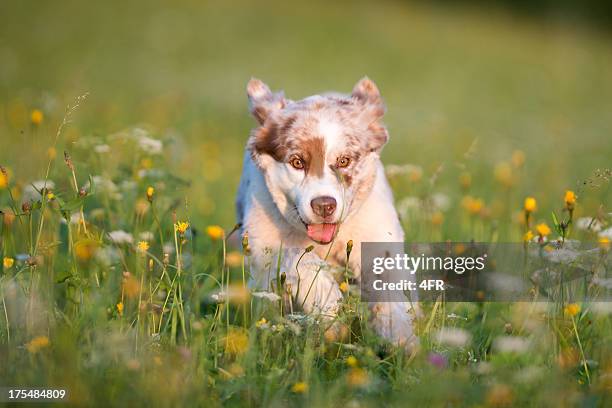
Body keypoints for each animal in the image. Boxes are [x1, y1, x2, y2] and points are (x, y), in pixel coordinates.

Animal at [237, 77, 418, 348]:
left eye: (344, 161)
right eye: (297, 162)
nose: (324, 205)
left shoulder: (377, 234)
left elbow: (386, 281)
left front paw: (399, 336)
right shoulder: (262, 242)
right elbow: (299, 258)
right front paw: (331, 312)